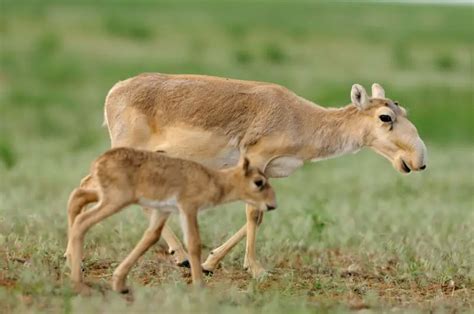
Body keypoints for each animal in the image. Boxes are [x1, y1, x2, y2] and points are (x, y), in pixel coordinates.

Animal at [65, 148, 276, 294]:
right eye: (259, 182)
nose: (272, 204)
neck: (213, 180)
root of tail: (99, 161)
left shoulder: (163, 211)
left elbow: (150, 237)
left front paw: (119, 283)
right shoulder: (188, 208)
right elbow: (194, 243)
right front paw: (200, 286)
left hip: (107, 197)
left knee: (78, 198)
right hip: (115, 201)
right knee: (82, 221)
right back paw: (79, 285)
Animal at [90, 73, 430, 278]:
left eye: (403, 111)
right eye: (385, 116)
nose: (420, 160)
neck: (301, 119)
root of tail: (114, 91)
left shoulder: (268, 171)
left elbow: (261, 214)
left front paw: (212, 261)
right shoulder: (255, 159)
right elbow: (253, 214)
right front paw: (255, 269)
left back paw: (183, 256)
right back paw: (182, 256)